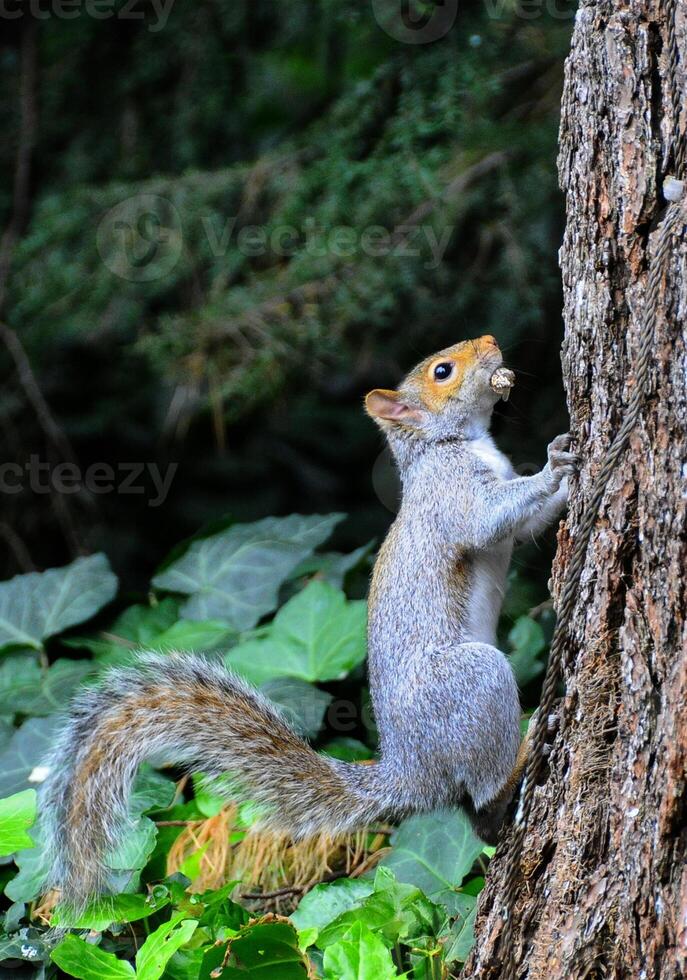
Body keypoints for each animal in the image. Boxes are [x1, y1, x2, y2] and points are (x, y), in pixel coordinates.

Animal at [40, 335, 577, 912]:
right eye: (442, 371)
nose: (492, 342)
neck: (454, 444)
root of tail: (411, 774)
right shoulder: (451, 495)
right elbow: (490, 519)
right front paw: (557, 463)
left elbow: (526, 523)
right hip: (470, 683)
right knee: (484, 793)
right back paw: (526, 747)